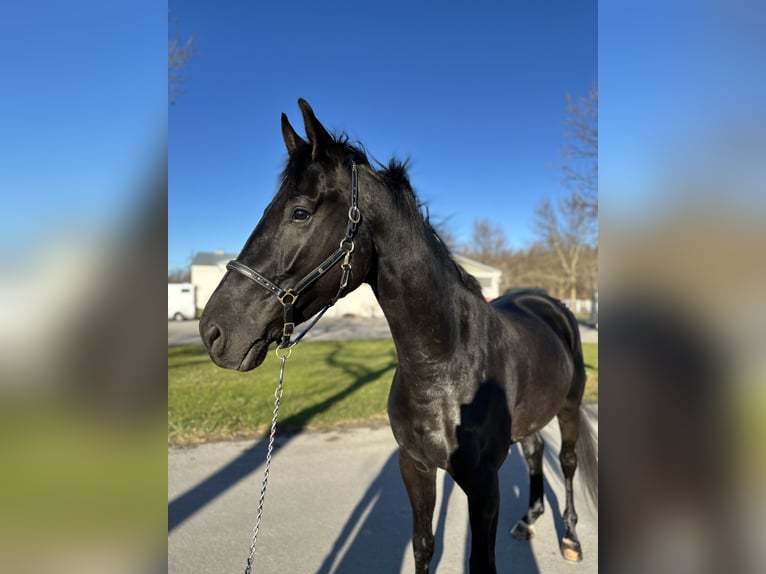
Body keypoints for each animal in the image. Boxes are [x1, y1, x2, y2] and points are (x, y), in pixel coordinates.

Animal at [200, 101, 600, 572]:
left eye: (300, 213)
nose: (214, 330)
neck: (444, 367)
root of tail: (549, 303)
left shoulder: (484, 486)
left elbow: (481, 562)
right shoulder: (415, 467)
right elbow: (423, 545)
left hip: (569, 409)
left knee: (568, 462)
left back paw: (570, 536)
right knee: (535, 450)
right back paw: (528, 519)